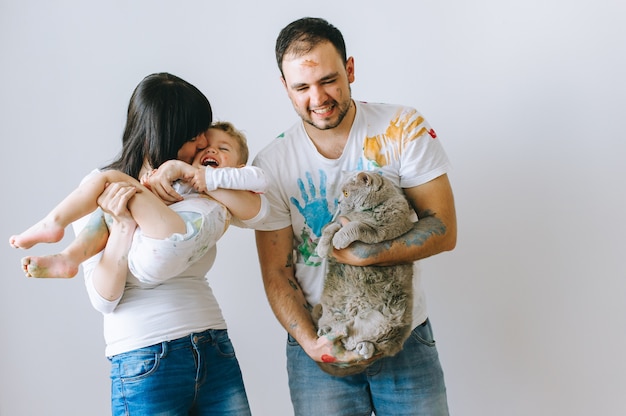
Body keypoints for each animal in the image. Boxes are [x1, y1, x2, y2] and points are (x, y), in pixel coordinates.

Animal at [314, 171, 412, 376]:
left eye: (345, 192)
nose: (338, 201)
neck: (366, 211)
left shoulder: (382, 232)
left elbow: (357, 227)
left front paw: (339, 240)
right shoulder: (339, 220)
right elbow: (330, 228)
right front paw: (322, 248)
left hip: (391, 327)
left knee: (369, 343)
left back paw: (358, 343)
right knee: (346, 338)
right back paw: (330, 330)